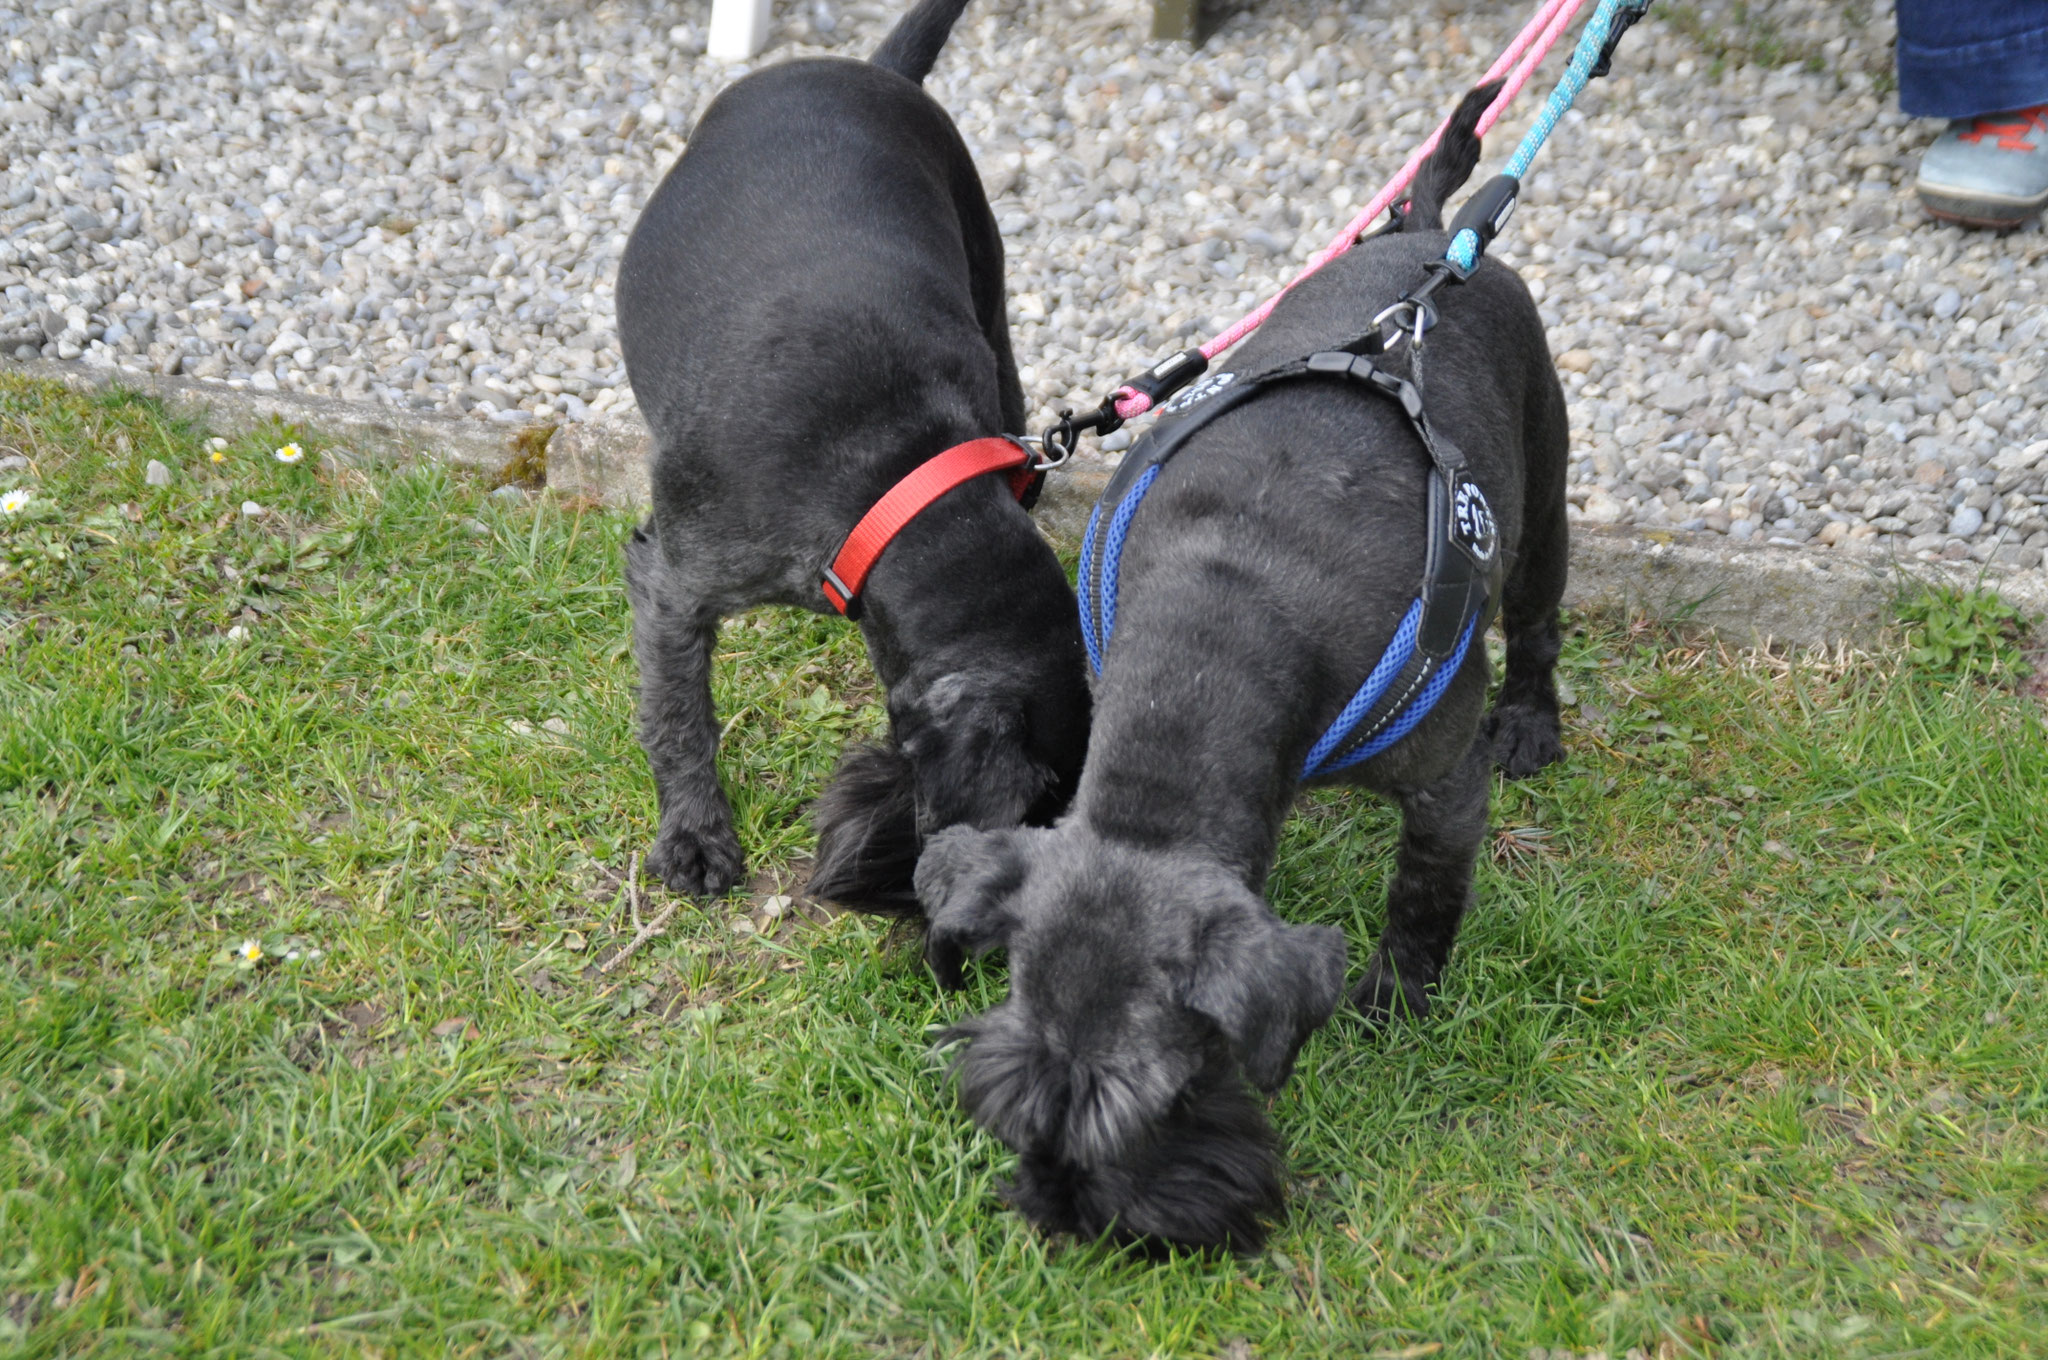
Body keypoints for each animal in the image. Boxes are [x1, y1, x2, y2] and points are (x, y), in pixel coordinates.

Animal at [913, 84, 1570, 1253]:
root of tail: (1432, 241)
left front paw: (1396, 1003)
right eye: (1010, 1099)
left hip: (1541, 497)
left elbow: (1423, 898)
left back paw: (1534, 722)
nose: (1070, 1218)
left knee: (1537, 620)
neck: (1216, 631)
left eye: (1167, 1096)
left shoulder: (1443, 786)